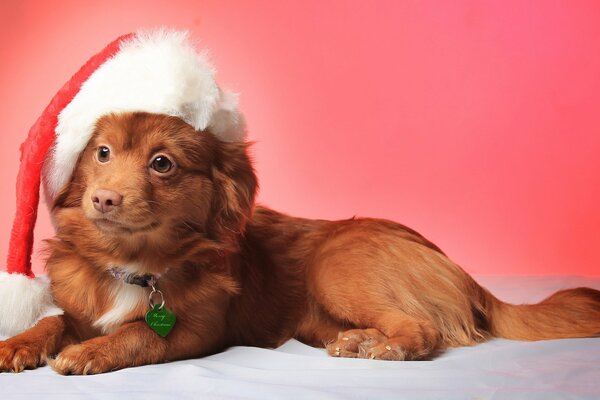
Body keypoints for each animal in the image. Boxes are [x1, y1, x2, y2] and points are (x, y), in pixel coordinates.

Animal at [1, 112, 600, 376]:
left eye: (162, 164)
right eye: (100, 153)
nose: (103, 199)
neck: (132, 265)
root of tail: (460, 271)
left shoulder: (197, 333)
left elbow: (137, 335)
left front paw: (89, 352)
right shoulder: (80, 308)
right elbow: (53, 321)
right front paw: (18, 344)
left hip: (337, 265)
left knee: (424, 328)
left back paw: (383, 347)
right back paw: (360, 341)